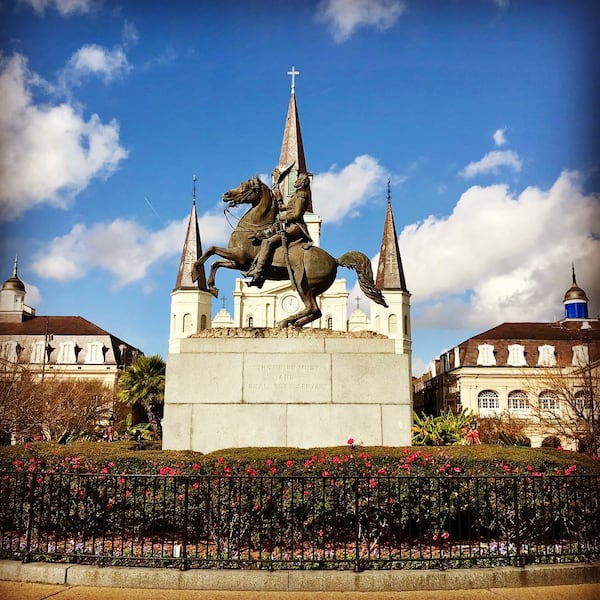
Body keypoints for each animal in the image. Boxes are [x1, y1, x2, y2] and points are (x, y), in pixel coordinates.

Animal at [192, 175, 390, 328]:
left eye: (247, 186)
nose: (226, 195)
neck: (252, 227)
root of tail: (335, 259)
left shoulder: (239, 257)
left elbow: (211, 251)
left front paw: (195, 272)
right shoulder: (238, 262)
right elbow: (215, 261)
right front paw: (210, 285)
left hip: (304, 285)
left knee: (313, 309)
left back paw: (286, 322)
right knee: (315, 311)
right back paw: (292, 323)